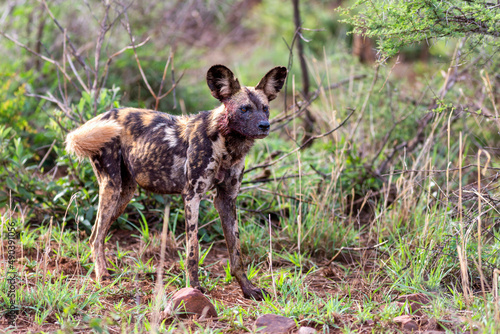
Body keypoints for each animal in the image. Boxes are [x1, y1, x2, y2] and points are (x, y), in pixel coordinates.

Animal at [65, 64, 286, 300]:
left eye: (265, 108)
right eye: (244, 109)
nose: (264, 125)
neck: (228, 146)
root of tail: (100, 116)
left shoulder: (227, 199)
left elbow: (236, 252)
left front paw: (248, 288)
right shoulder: (192, 196)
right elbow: (193, 251)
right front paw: (194, 287)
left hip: (124, 194)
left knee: (95, 235)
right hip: (111, 187)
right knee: (96, 237)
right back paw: (102, 277)